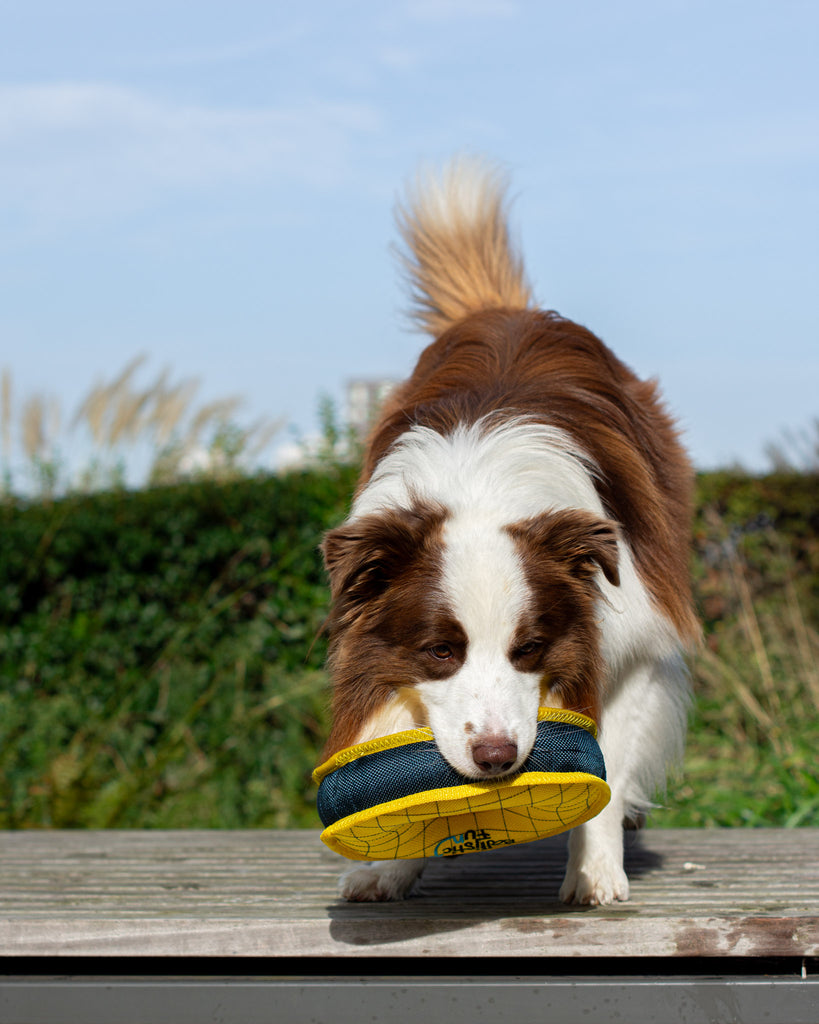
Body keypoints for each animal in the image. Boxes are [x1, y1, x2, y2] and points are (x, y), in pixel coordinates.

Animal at [319, 159, 696, 905]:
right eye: (440, 651)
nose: (496, 757)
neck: (478, 492)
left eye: (530, 649)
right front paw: (389, 868)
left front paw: (595, 872)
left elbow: (606, 773)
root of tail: (504, 310)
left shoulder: (637, 639)